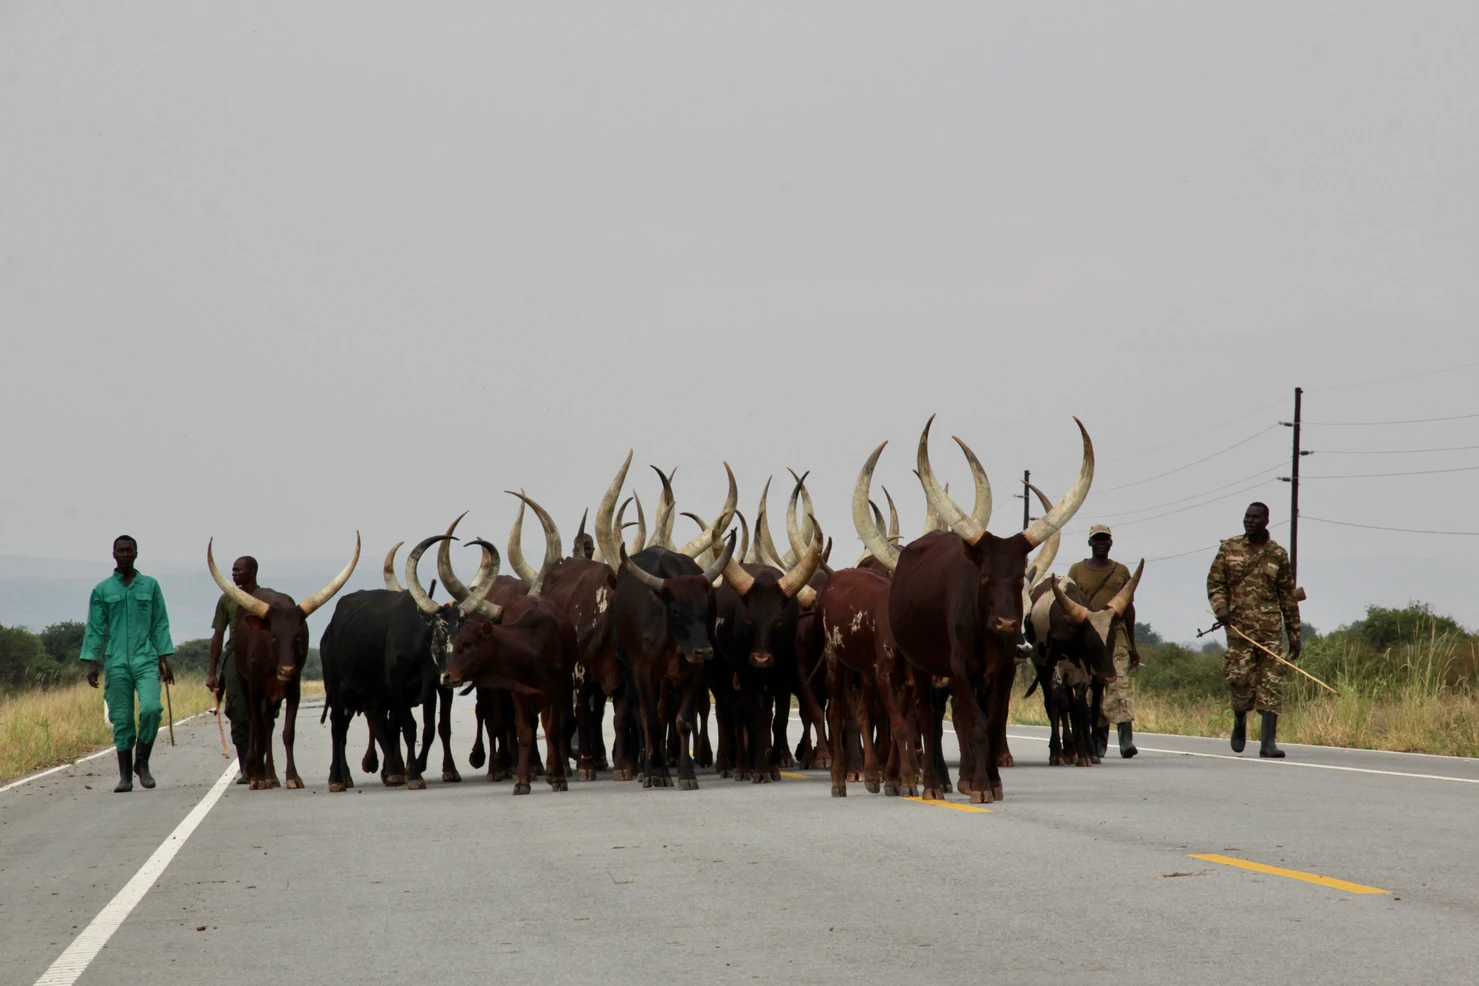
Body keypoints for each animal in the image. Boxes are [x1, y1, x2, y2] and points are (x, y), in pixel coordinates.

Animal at [207, 535, 360, 790]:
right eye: (273, 636)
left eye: (298, 637)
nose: (286, 669)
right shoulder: (255, 687)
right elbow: (257, 727)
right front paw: (258, 778)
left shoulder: (294, 688)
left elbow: (288, 733)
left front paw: (292, 776)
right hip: (245, 682)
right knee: (255, 723)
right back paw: (255, 773)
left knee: (269, 724)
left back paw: (271, 775)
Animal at [885, 415, 1094, 803]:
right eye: (983, 575)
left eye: (1018, 578)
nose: (1006, 622)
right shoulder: (961, 668)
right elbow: (975, 724)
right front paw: (980, 787)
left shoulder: (1002, 669)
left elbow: (994, 721)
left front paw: (993, 783)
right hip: (920, 665)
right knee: (926, 718)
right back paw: (932, 785)